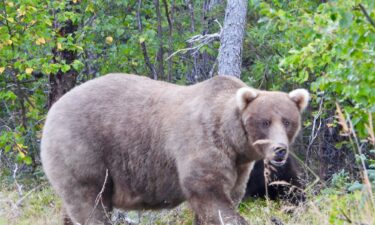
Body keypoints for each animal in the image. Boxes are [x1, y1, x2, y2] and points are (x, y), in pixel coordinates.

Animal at [41, 74, 310, 225]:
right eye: (265, 122)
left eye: (287, 121)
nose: (279, 150)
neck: (233, 140)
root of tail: (53, 109)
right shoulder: (202, 145)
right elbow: (211, 196)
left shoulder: (240, 166)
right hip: (85, 151)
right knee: (91, 205)